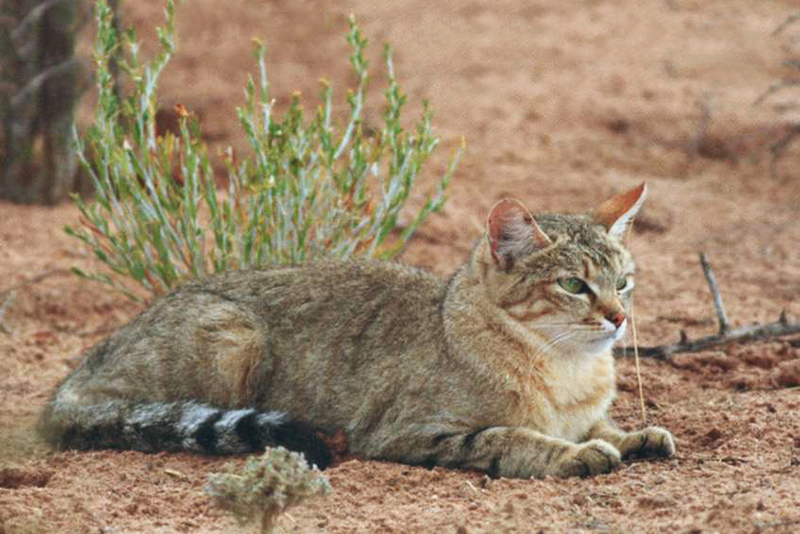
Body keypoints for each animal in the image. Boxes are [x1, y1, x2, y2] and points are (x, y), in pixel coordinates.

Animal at [39, 185, 676, 482]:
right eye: (573, 284)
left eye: (624, 281)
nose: (618, 318)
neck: (565, 370)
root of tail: (76, 374)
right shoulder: (411, 433)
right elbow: (512, 438)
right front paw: (574, 455)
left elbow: (605, 427)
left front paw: (634, 436)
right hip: (235, 339)